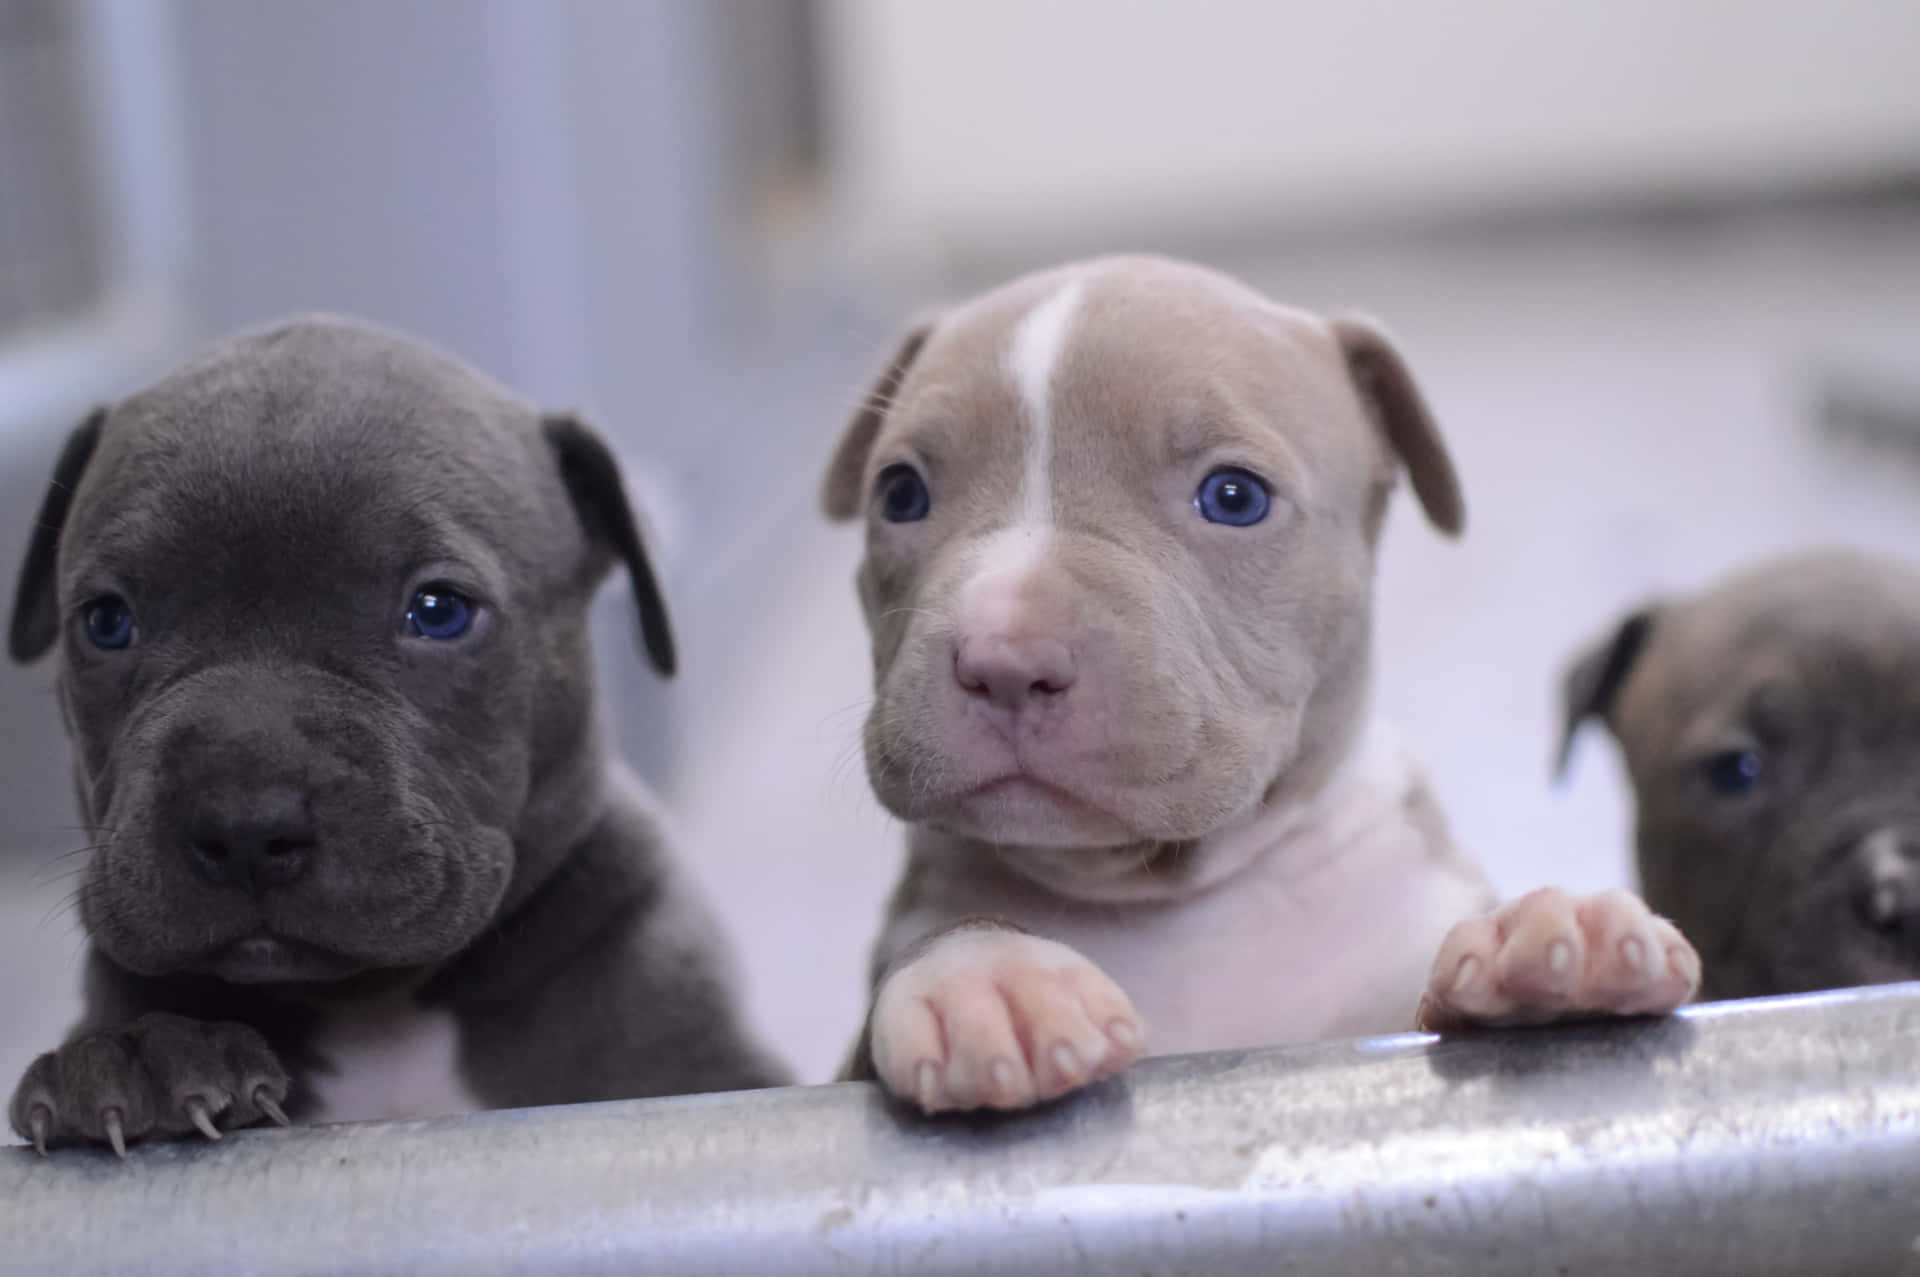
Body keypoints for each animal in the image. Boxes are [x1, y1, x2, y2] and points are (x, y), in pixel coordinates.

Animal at [821, 257, 1697, 1106]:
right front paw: (986, 973)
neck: (1174, 903)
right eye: (900, 492)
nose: (1004, 658)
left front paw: (1549, 936)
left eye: (1234, 496)